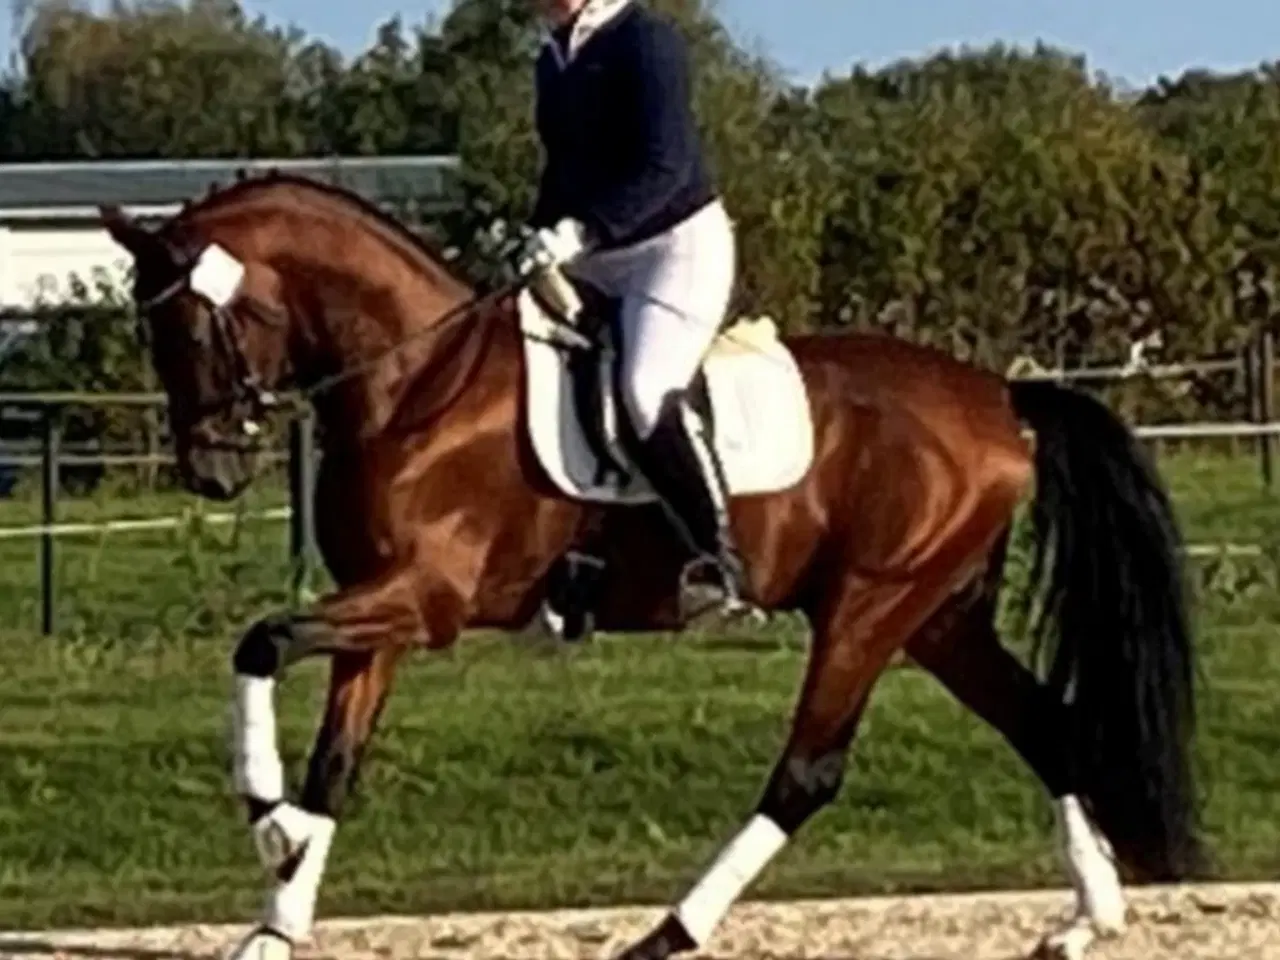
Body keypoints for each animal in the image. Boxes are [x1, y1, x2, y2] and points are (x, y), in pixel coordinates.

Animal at [98, 171, 1201, 960]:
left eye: (193, 325)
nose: (208, 472)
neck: (419, 383)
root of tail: (1000, 399)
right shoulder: (385, 614)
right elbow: (333, 758)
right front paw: (275, 918)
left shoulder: (424, 600)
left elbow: (259, 641)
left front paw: (266, 820)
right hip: (938, 616)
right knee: (1042, 725)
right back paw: (1084, 921)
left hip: (868, 609)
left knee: (807, 773)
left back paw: (666, 934)